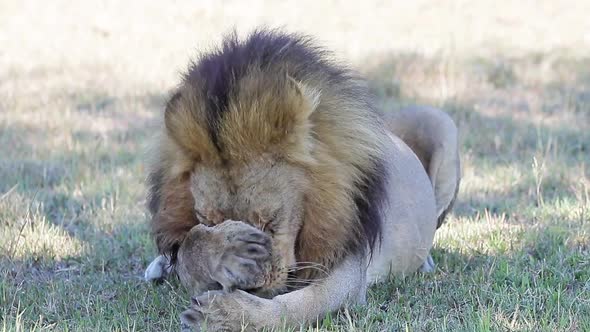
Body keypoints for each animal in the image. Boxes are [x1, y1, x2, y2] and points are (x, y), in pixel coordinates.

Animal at [145, 29, 462, 330]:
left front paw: (228, 315)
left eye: (271, 220)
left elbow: (299, 306)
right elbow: (189, 247)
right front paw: (227, 254)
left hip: (442, 125)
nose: (252, 288)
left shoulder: (348, 269)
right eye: (210, 222)